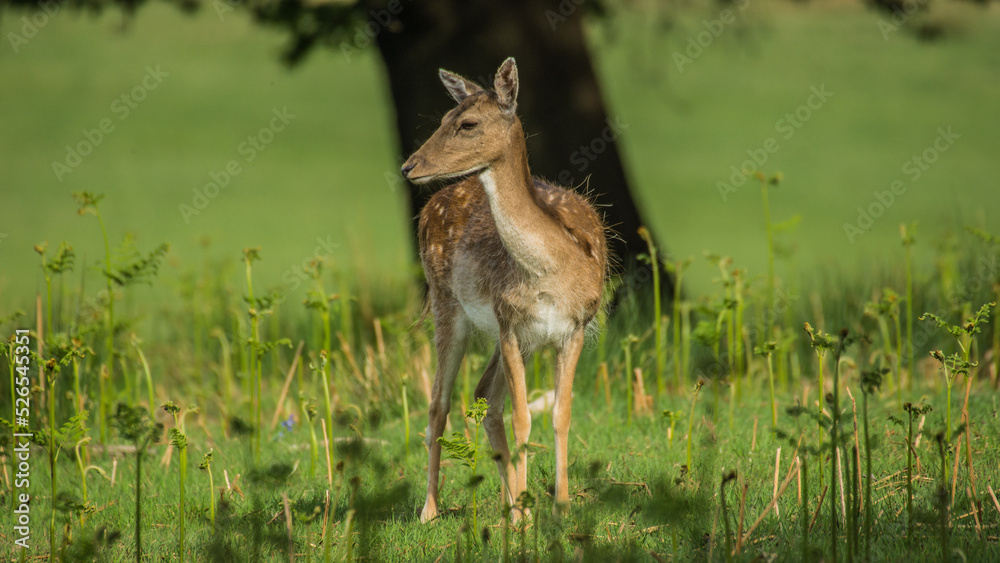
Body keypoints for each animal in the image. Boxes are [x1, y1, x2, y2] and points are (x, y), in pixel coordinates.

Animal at [400, 58, 608, 524]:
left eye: (467, 123)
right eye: (444, 117)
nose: (408, 166)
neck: (551, 271)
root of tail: (430, 205)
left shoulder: (574, 327)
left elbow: (560, 413)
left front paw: (560, 506)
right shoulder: (510, 322)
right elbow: (522, 418)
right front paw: (529, 510)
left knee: (483, 396)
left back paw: (509, 505)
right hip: (447, 304)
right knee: (440, 403)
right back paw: (432, 509)